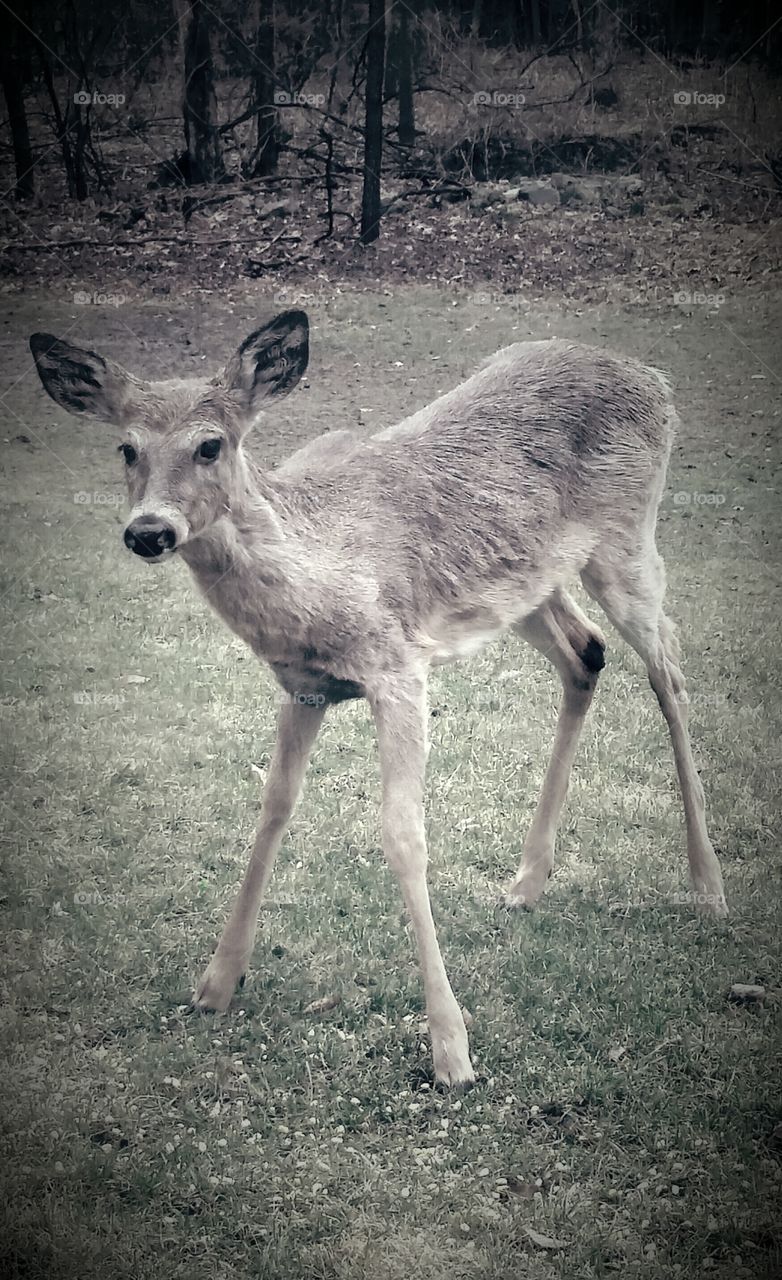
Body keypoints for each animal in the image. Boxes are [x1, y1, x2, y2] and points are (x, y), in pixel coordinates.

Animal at [29, 310, 728, 1088]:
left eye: (211, 445)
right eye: (126, 447)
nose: (148, 530)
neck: (316, 571)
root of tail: (653, 380)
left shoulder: (398, 666)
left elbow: (402, 833)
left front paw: (452, 1049)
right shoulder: (304, 686)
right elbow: (273, 808)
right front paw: (216, 982)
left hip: (626, 537)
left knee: (668, 670)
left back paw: (708, 885)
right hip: (525, 585)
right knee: (586, 655)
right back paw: (526, 881)